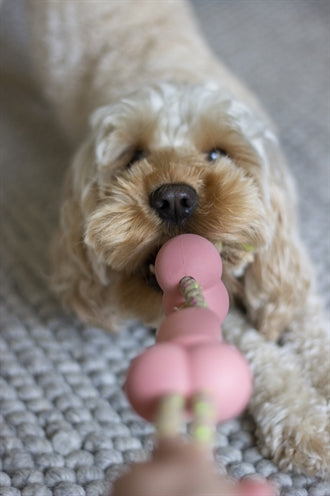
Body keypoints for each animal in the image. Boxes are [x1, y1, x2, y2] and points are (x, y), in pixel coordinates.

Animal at [27, 0, 328, 476]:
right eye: (133, 157)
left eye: (218, 153)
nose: (173, 198)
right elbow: (259, 353)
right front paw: (301, 417)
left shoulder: (288, 264)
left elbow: (313, 327)